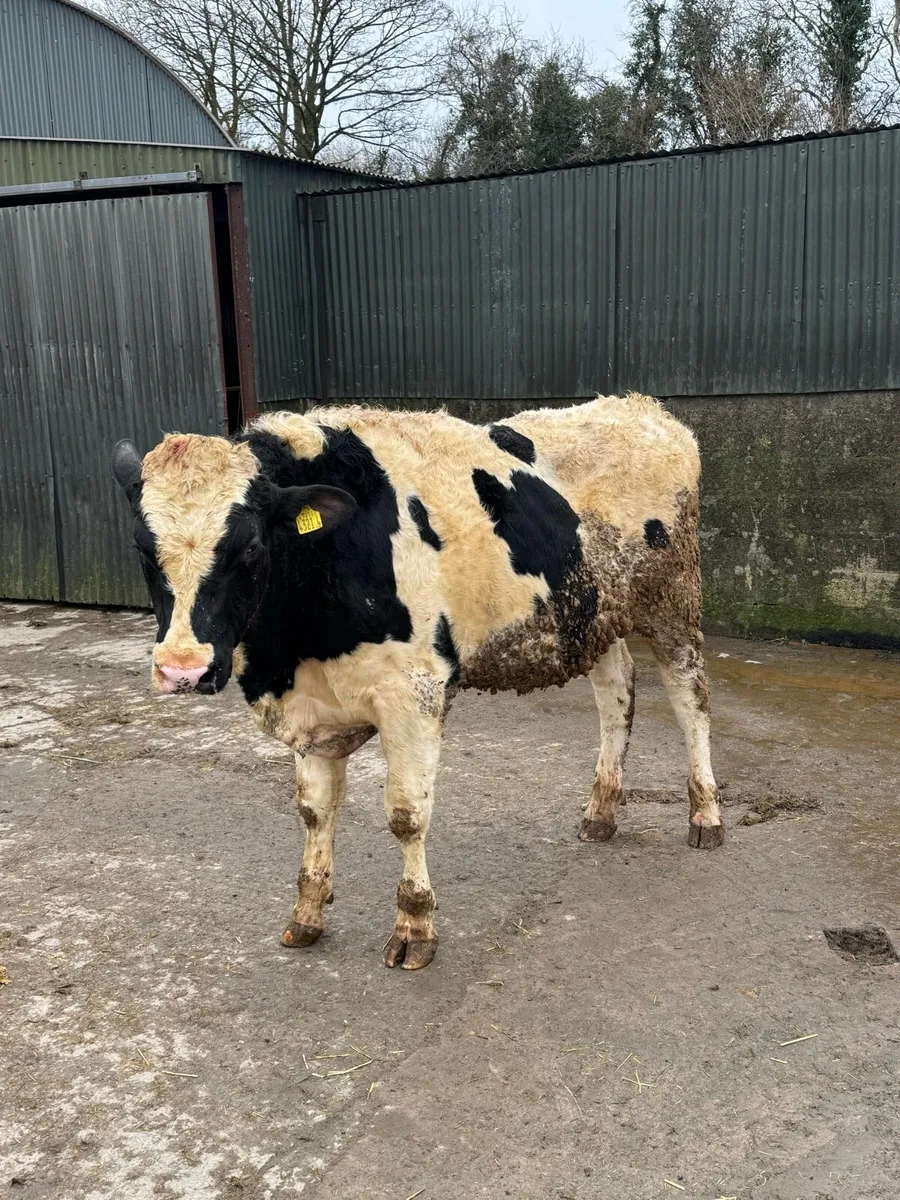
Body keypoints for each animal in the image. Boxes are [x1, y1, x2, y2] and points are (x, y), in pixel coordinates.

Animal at [112, 395, 722, 970]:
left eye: (251, 547)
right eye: (142, 548)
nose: (183, 670)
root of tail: (643, 409)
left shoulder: (413, 692)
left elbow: (406, 816)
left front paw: (414, 927)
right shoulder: (309, 705)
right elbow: (314, 811)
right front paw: (306, 913)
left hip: (671, 602)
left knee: (690, 701)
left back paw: (706, 814)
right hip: (592, 613)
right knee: (616, 693)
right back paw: (601, 812)